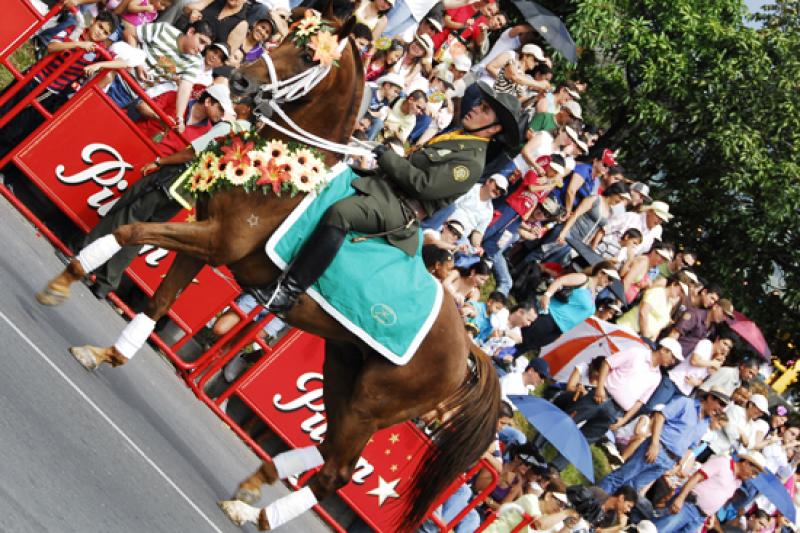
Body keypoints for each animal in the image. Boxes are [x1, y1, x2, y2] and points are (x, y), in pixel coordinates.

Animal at [39, 7, 500, 528]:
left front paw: (64, 282)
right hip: (343, 369)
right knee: (328, 451)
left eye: (308, 55)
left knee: (336, 472)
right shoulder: (204, 241)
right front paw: (107, 354)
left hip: (374, 405)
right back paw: (254, 487)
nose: (237, 79)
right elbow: (157, 305)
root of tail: (468, 348)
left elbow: (129, 234)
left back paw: (258, 514)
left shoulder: (215, 243)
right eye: (281, 36)